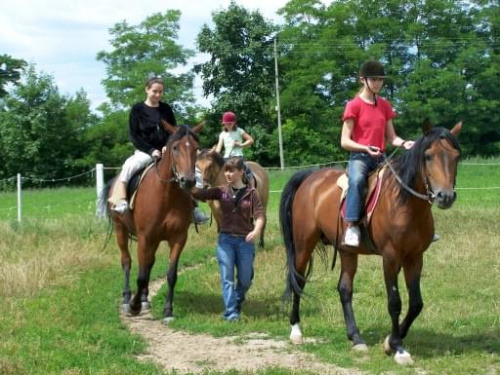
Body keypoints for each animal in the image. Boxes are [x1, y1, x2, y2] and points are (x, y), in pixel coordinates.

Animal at [100, 122, 202, 324]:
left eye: (196, 149)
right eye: (175, 147)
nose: (187, 180)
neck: (167, 194)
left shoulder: (178, 238)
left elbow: (171, 275)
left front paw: (168, 310)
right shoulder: (144, 237)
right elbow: (140, 276)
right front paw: (134, 306)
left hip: (154, 240)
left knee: (148, 262)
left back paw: (145, 298)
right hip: (121, 229)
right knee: (126, 261)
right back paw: (127, 298)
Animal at [280, 119, 462, 364]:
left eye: (456, 156)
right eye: (428, 156)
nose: (445, 196)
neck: (405, 203)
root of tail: (310, 178)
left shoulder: (415, 258)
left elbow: (416, 303)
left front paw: (390, 342)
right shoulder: (390, 257)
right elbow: (395, 302)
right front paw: (399, 349)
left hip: (347, 251)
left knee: (344, 289)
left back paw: (356, 338)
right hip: (303, 246)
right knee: (297, 281)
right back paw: (296, 331)